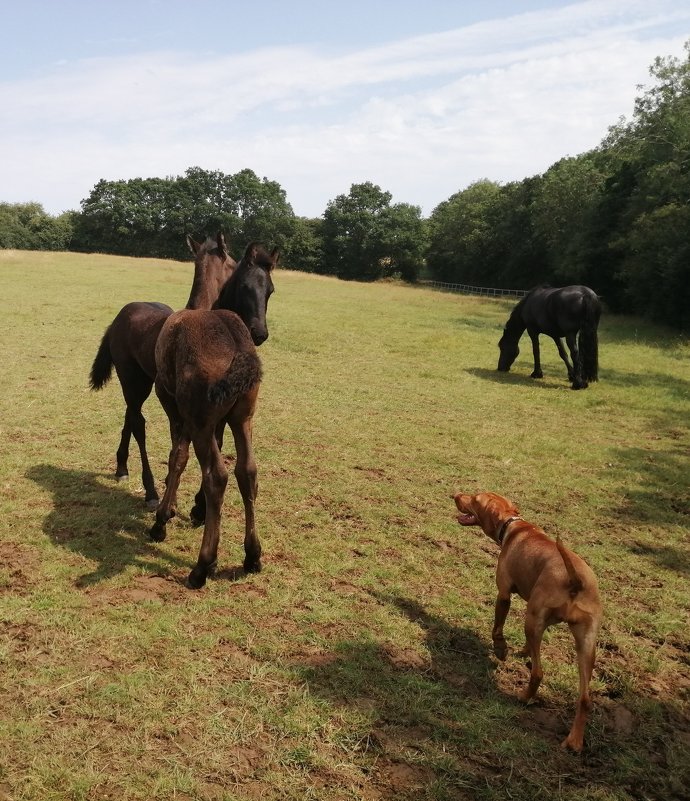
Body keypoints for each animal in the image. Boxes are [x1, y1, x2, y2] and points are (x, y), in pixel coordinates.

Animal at [88, 233, 235, 506]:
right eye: (233, 263)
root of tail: (117, 319)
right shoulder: (169, 397)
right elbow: (176, 440)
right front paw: (169, 495)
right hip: (130, 378)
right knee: (138, 423)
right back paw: (150, 491)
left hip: (141, 382)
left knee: (130, 414)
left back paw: (122, 467)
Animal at [150, 244, 276, 588]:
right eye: (245, 286)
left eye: (269, 290)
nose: (260, 332)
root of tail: (239, 347)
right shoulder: (220, 421)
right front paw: (195, 509)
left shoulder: (176, 410)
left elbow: (177, 457)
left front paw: (163, 517)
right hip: (243, 419)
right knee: (247, 471)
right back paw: (252, 555)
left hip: (200, 423)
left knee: (217, 476)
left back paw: (202, 566)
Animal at [452, 488, 596, 752]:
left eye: (474, 498)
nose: (456, 494)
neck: (512, 524)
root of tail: (575, 581)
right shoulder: (540, 620)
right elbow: (531, 645)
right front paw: (524, 651)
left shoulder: (504, 594)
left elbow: (497, 628)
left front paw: (501, 650)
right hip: (586, 644)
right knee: (585, 698)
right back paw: (574, 741)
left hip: (533, 619)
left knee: (538, 673)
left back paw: (523, 697)